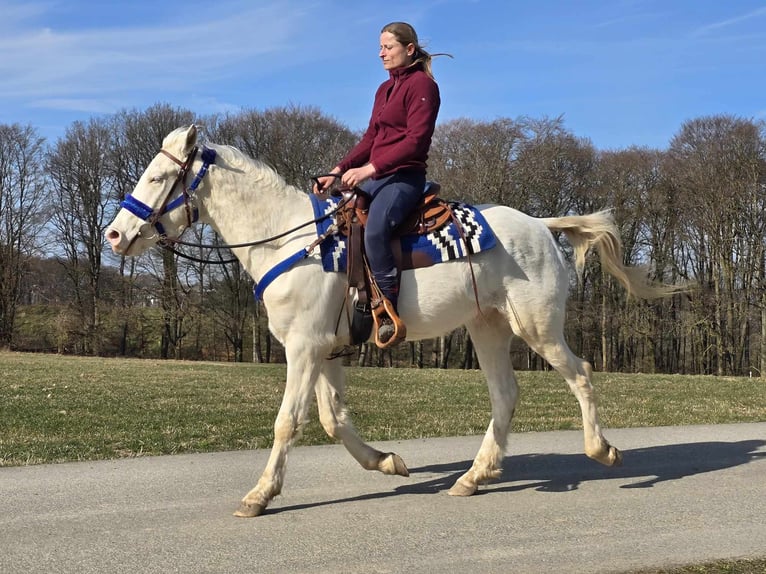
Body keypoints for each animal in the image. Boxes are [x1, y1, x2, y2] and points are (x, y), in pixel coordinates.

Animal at [105, 125, 668, 516]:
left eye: (157, 177)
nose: (114, 235)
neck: (292, 241)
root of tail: (539, 224)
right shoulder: (325, 350)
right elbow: (332, 419)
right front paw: (386, 462)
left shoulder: (303, 349)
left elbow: (289, 421)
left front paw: (261, 494)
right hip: (487, 327)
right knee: (505, 395)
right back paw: (475, 475)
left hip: (538, 328)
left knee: (581, 375)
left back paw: (601, 450)